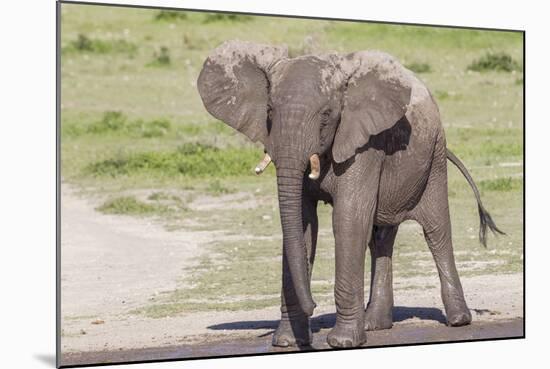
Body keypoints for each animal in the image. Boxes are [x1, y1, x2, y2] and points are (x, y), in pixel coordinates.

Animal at [197, 41, 504, 348]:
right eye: (269, 111)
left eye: (326, 114)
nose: (314, 306)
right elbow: (303, 225)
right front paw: (287, 342)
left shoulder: (364, 143)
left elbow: (348, 220)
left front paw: (342, 341)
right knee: (381, 238)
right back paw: (375, 324)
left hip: (435, 156)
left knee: (436, 231)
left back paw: (458, 320)